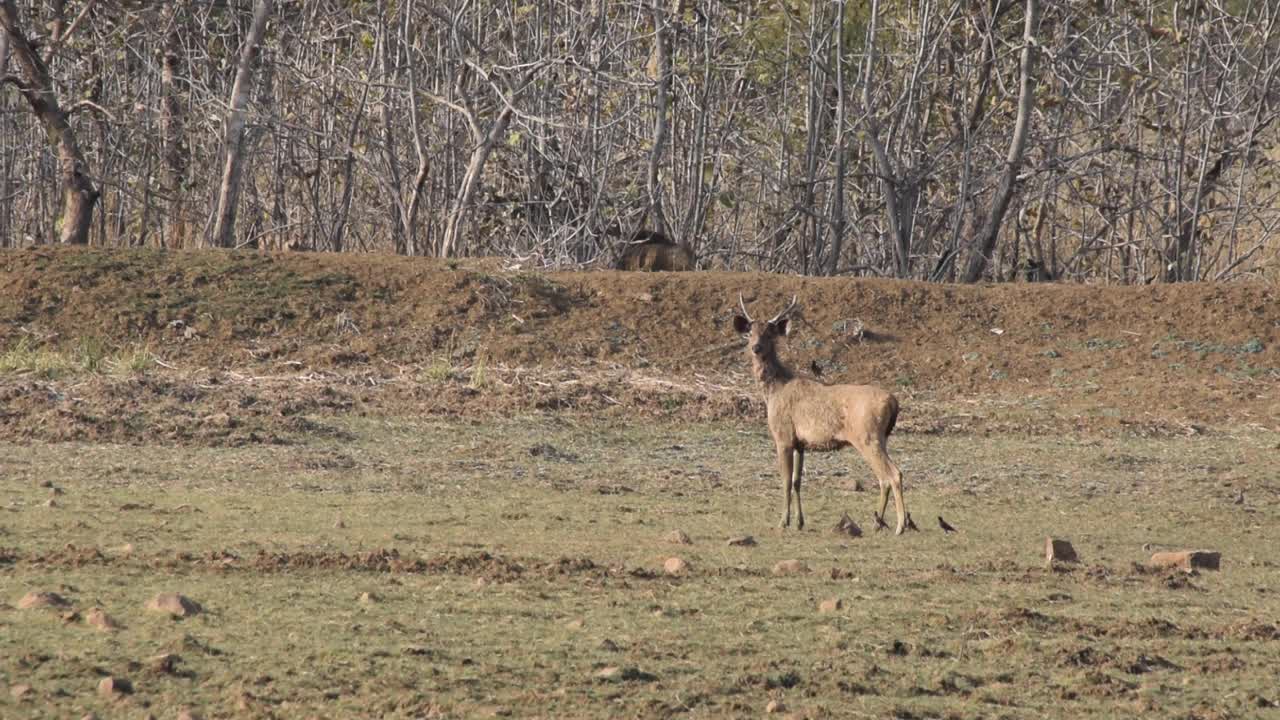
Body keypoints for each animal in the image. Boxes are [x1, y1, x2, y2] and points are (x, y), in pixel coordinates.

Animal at [732, 293, 911, 532]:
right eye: (750, 333)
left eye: (770, 333)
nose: (756, 347)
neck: (774, 391)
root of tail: (893, 402)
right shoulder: (801, 443)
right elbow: (797, 481)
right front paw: (799, 521)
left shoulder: (783, 435)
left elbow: (785, 480)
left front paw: (783, 521)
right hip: (881, 438)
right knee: (885, 478)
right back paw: (878, 524)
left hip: (867, 436)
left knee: (893, 474)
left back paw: (900, 525)